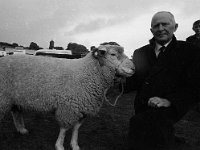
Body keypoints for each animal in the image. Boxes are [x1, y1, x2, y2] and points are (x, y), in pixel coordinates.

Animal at [0, 44, 134, 149]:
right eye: (113, 54)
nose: (133, 68)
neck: (87, 73)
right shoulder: (68, 107)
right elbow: (64, 129)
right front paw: (59, 145)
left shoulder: (82, 107)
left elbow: (76, 129)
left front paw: (74, 145)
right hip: (3, 97)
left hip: (14, 98)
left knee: (16, 112)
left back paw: (21, 129)